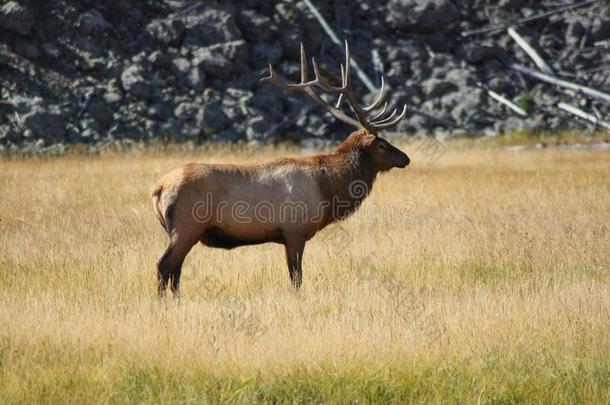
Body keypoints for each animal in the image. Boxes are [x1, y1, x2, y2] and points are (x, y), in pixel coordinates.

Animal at [151, 41, 408, 296]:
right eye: (382, 145)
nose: (406, 158)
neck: (328, 189)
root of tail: (158, 188)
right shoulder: (294, 231)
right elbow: (296, 277)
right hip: (186, 227)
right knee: (164, 266)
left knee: (176, 271)